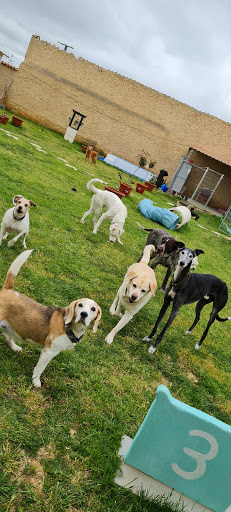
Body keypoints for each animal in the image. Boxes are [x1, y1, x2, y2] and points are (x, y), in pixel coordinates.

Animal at [0, 250, 102, 386]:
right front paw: (35, 381)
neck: (69, 326)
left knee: (7, 336)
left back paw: (15, 347)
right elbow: (40, 368)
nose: (84, 314)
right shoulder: (49, 352)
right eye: (80, 305)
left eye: (93, 309)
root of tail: (8, 289)